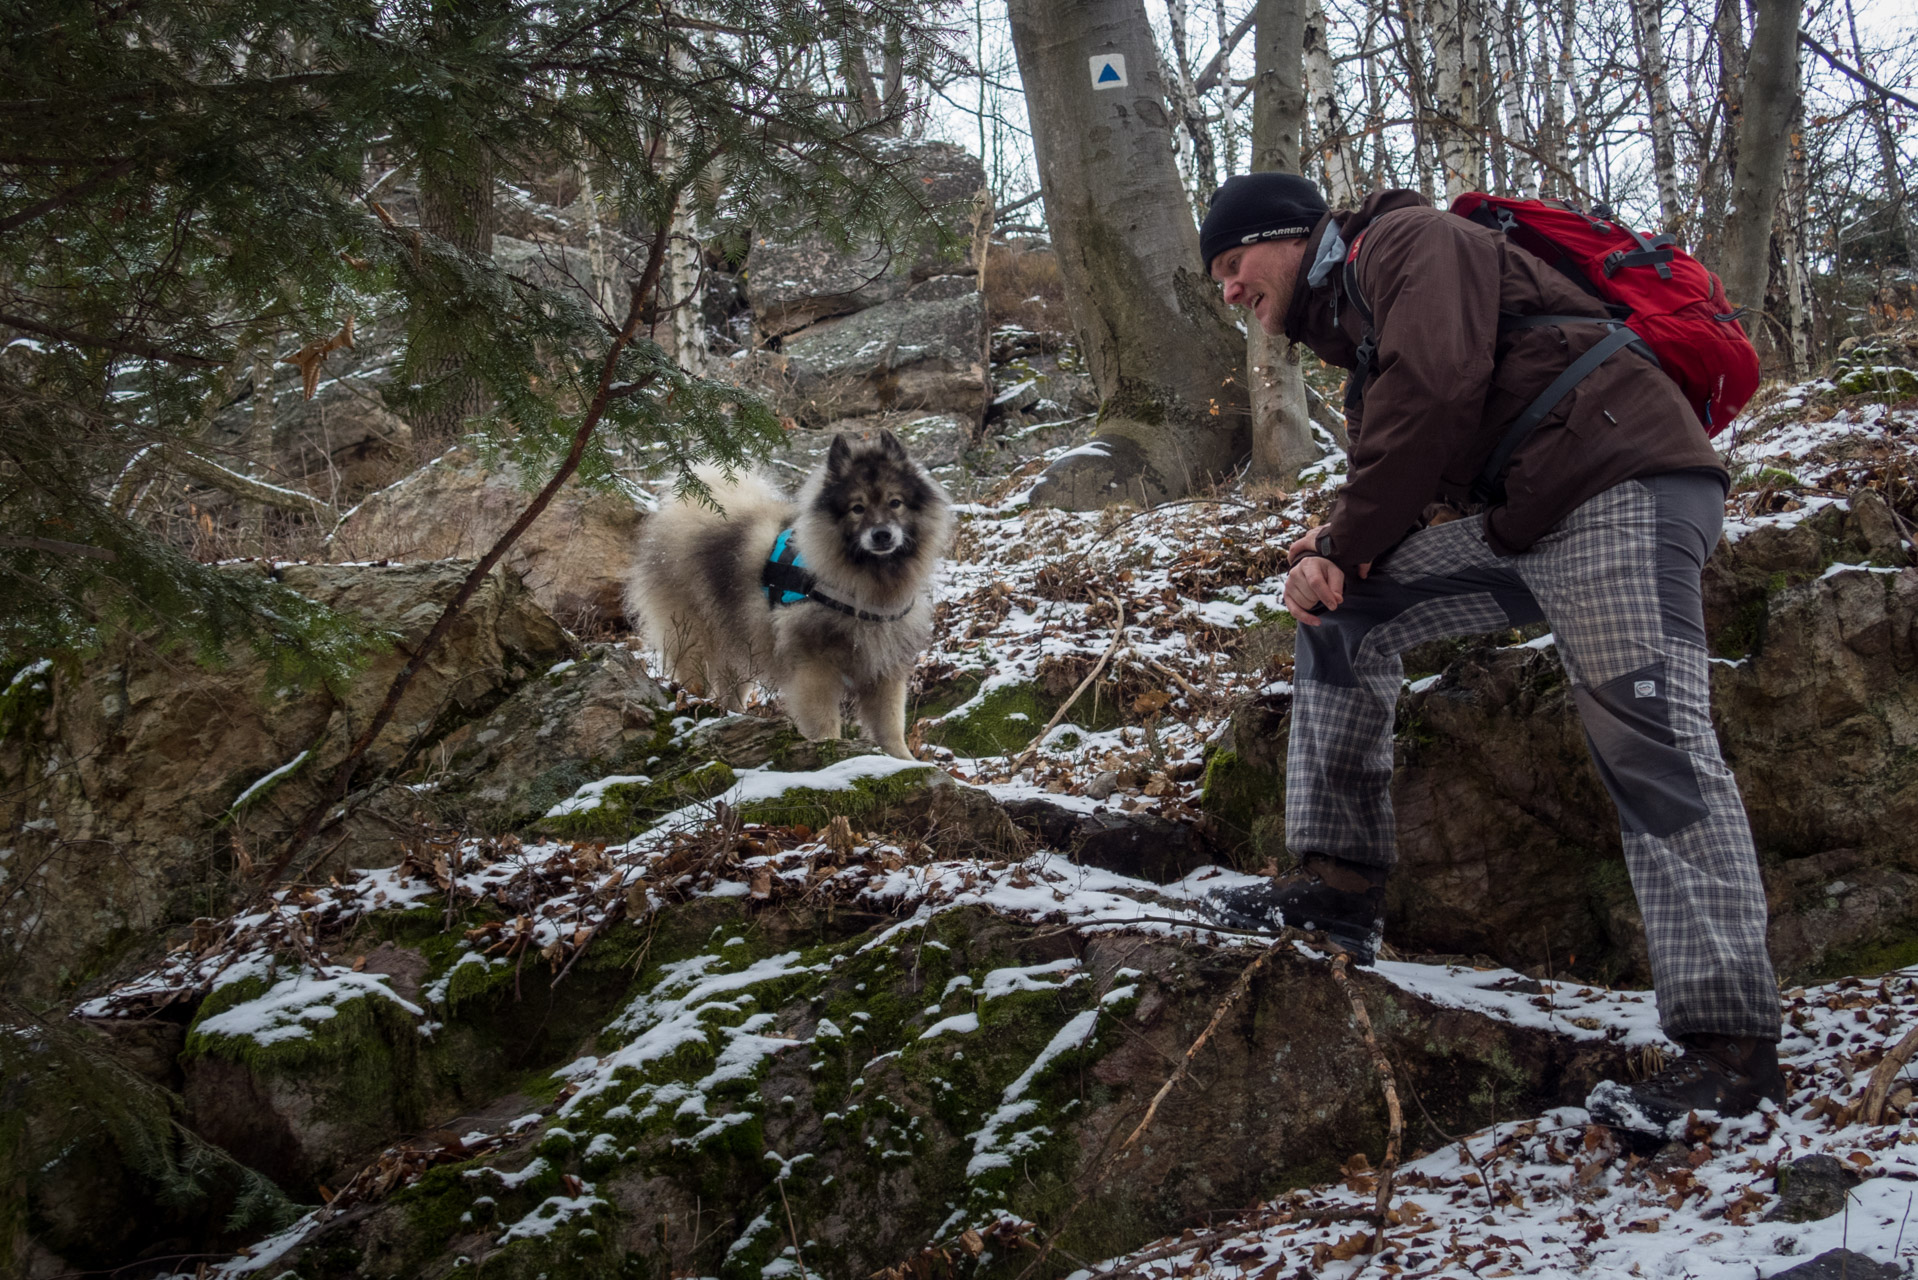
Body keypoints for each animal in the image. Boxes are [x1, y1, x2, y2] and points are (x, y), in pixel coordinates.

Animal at [629, 427, 951, 759]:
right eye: (857, 508)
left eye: (895, 502)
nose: (882, 534)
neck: (866, 583)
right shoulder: (814, 667)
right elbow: (825, 722)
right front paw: (830, 751)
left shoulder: (884, 667)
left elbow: (891, 726)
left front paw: (904, 760)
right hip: (694, 640)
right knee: (695, 678)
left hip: (737, 645)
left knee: (730, 690)